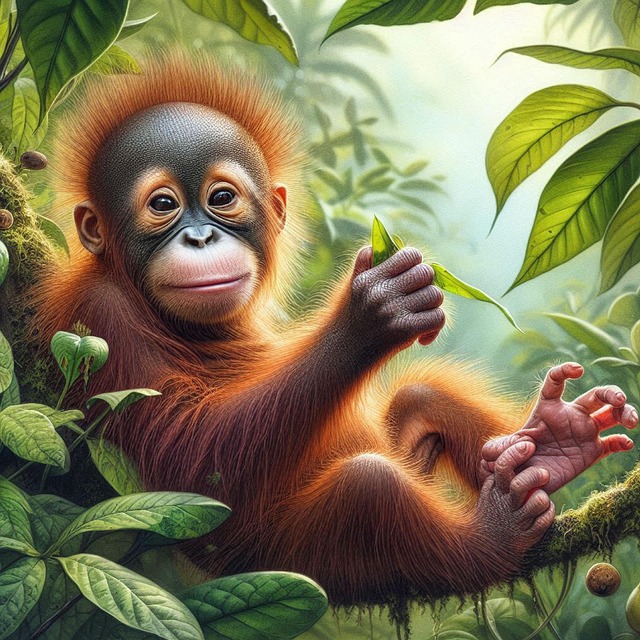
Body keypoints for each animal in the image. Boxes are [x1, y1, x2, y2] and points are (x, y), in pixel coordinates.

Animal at [33, 52, 639, 608]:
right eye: (163, 205)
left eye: (221, 198)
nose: (200, 238)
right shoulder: (102, 314)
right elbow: (190, 466)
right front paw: (372, 313)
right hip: (293, 556)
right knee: (369, 487)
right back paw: (495, 534)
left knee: (420, 398)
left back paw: (556, 445)